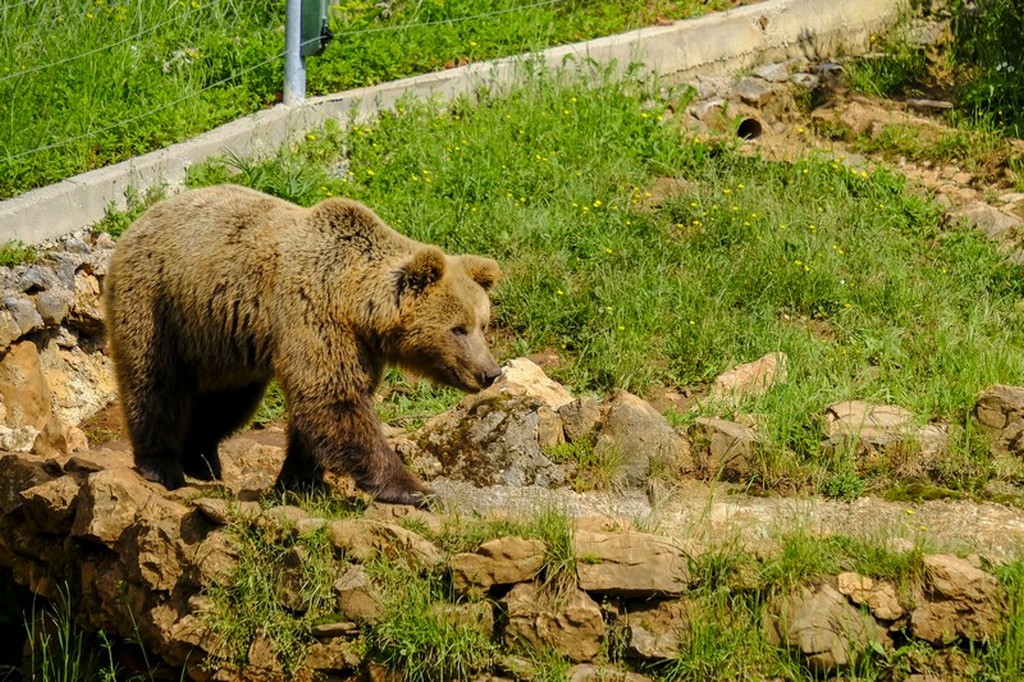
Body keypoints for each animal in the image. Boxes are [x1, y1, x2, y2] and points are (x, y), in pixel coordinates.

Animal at [103, 182, 503, 503]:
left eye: (482, 324)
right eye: (458, 329)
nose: (490, 372)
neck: (355, 301)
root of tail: (141, 218)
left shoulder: (358, 346)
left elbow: (324, 408)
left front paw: (300, 480)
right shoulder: (313, 315)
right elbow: (333, 400)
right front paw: (415, 489)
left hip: (225, 340)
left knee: (228, 401)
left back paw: (203, 460)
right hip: (158, 302)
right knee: (154, 383)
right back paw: (161, 465)